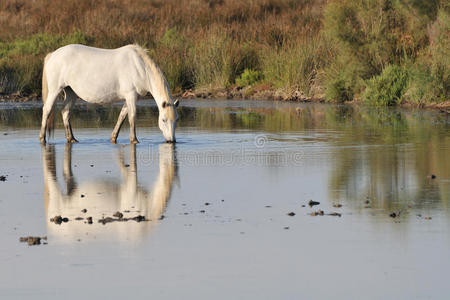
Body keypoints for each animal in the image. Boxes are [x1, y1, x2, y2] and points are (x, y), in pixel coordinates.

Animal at [39, 43, 178, 144]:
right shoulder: (131, 95)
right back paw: (42, 138)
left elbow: (122, 116)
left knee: (65, 112)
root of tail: (52, 55)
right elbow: (132, 117)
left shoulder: (131, 97)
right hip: (55, 90)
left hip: (71, 92)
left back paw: (71, 138)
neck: (140, 67)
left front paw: (113, 137)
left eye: (176, 119)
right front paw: (134, 140)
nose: (171, 141)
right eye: (164, 120)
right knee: (47, 110)